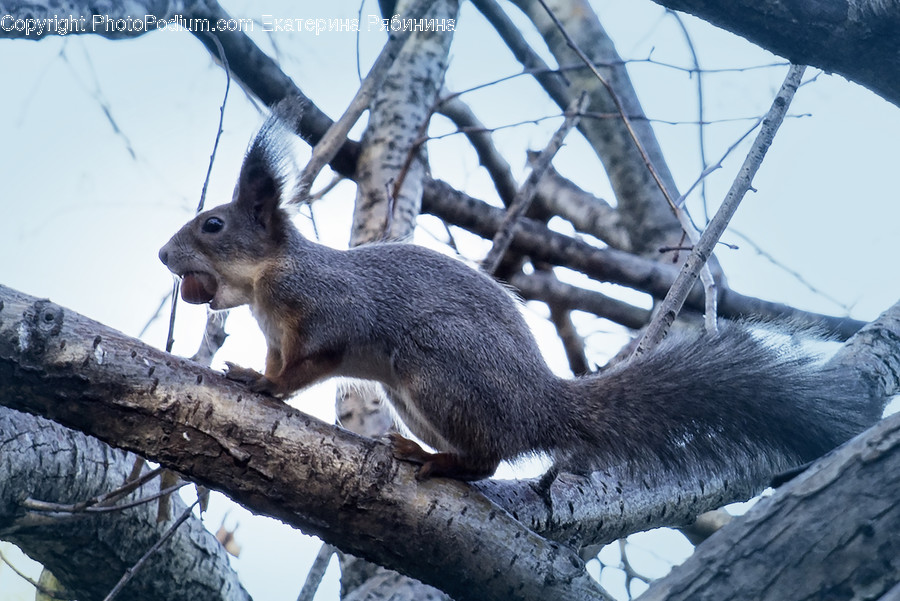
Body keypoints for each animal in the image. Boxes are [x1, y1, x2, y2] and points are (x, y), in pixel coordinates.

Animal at [159, 117, 875, 483]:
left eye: (213, 225)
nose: (164, 257)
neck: (265, 284)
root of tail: (541, 404)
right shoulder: (277, 328)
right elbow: (281, 360)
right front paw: (255, 371)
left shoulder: (332, 311)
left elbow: (308, 366)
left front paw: (265, 385)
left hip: (439, 366)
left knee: (487, 461)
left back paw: (434, 461)